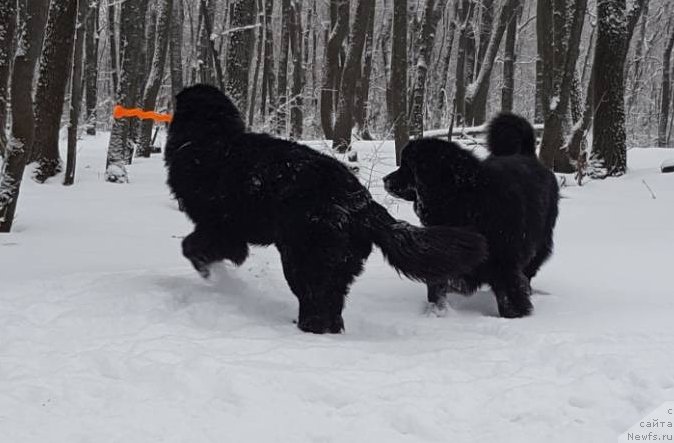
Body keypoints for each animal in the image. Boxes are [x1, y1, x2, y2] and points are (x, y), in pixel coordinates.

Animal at [165, 84, 486, 332]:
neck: (209, 139)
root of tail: (361, 202)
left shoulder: (220, 226)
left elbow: (193, 246)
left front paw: (209, 272)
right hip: (336, 265)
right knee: (332, 309)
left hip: (305, 259)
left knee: (317, 304)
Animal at [384, 112, 556, 318]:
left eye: (406, 166)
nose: (385, 179)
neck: (463, 198)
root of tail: (526, 154)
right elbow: (436, 289)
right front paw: (437, 312)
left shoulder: (504, 263)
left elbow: (508, 297)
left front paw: (516, 315)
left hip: (539, 243)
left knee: (529, 270)